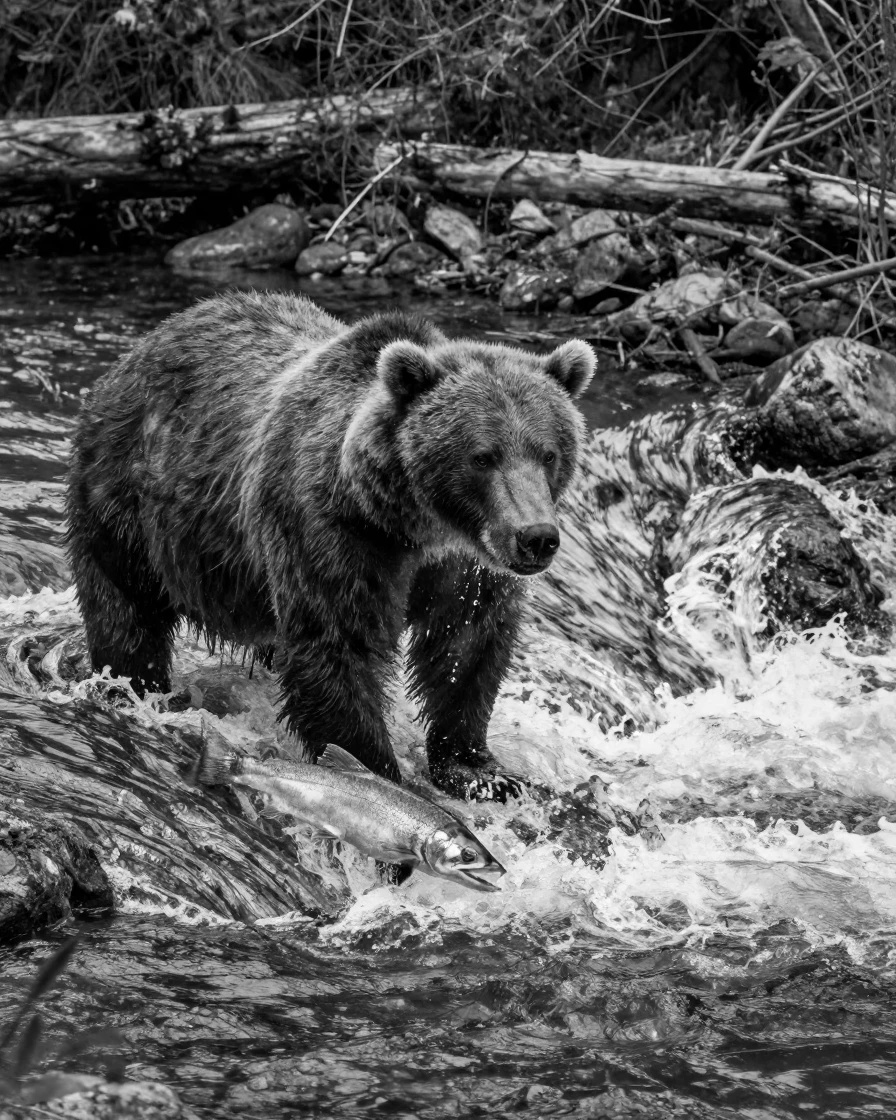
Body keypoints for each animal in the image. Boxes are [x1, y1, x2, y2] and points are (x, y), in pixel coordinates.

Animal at [66, 290, 595, 797]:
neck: (420, 526)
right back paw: (132, 688)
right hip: (128, 499)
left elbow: (467, 645)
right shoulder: (333, 535)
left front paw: (482, 771)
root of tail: (143, 346)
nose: (536, 538)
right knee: (126, 603)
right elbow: (336, 651)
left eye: (548, 453)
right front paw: (378, 774)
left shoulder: (465, 568)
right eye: (483, 456)